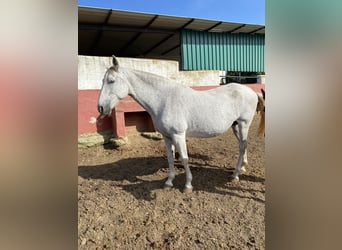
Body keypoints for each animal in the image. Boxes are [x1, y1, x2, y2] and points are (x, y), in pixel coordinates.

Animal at [97, 56, 266, 191]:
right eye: (103, 80)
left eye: (111, 81)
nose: (101, 107)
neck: (164, 99)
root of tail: (252, 91)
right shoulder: (166, 136)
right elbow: (170, 158)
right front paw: (169, 182)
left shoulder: (178, 135)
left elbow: (184, 158)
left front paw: (188, 185)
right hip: (236, 126)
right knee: (243, 145)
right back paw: (242, 167)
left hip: (244, 124)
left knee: (242, 146)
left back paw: (235, 175)